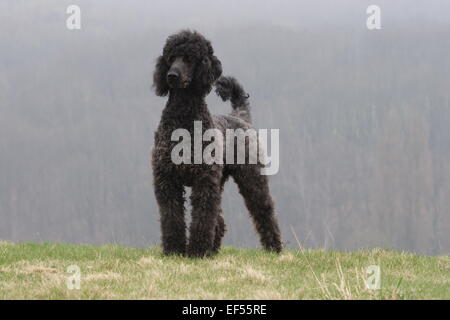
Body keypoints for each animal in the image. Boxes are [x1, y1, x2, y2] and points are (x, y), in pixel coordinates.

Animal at [151, 30, 282, 258]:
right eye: (170, 57)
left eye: (189, 58)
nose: (172, 76)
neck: (183, 118)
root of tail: (240, 116)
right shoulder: (167, 180)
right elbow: (172, 218)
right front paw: (174, 250)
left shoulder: (204, 180)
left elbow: (202, 218)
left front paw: (196, 252)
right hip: (219, 182)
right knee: (219, 221)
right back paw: (212, 251)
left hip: (251, 178)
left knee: (264, 211)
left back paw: (274, 248)